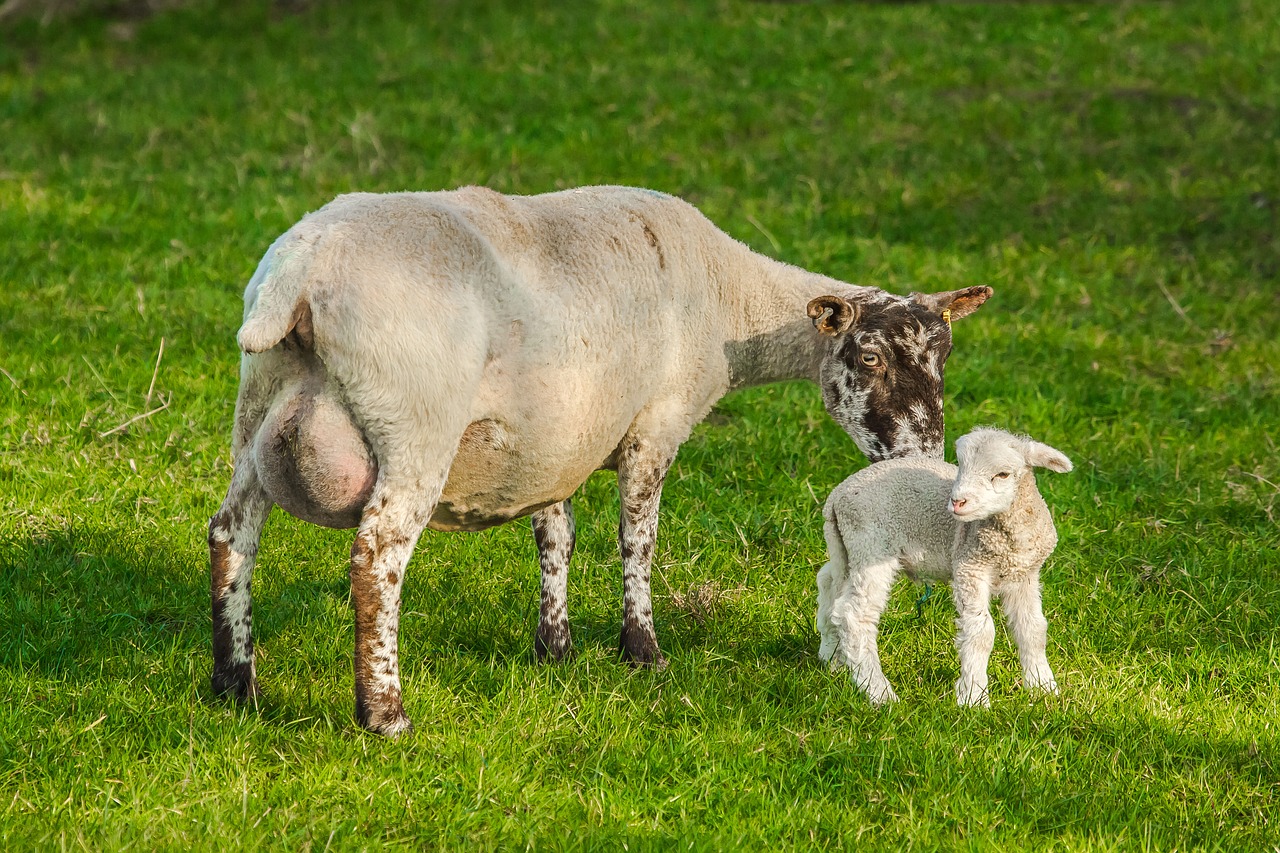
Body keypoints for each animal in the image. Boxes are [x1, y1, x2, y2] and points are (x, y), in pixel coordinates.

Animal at [207, 184, 998, 732]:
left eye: (943, 360)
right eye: (868, 357)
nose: (924, 456)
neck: (730, 299)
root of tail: (299, 276)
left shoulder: (554, 437)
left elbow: (556, 533)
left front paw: (553, 647)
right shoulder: (656, 422)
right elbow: (637, 538)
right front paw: (642, 649)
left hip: (256, 409)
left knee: (230, 535)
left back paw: (235, 686)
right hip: (413, 426)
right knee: (376, 559)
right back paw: (385, 713)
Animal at [814, 425, 1075, 701]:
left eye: (1002, 474)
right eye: (961, 466)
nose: (957, 502)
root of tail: (837, 497)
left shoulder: (1024, 575)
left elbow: (1033, 629)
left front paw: (1043, 687)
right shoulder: (970, 567)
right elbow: (980, 632)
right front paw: (974, 696)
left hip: (847, 549)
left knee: (828, 582)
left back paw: (832, 657)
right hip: (871, 547)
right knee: (855, 616)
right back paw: (879, 693)